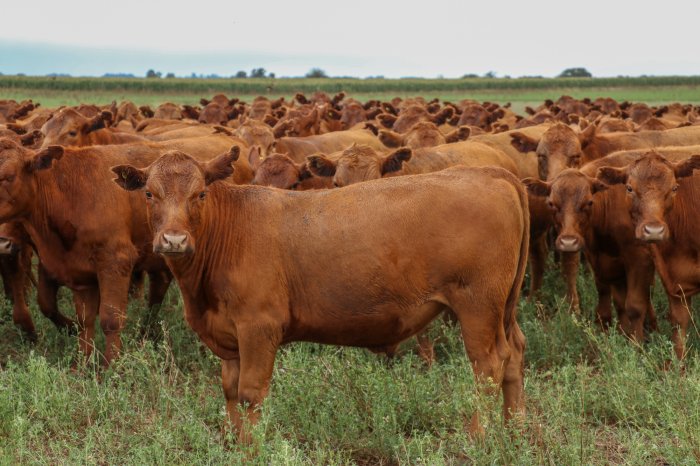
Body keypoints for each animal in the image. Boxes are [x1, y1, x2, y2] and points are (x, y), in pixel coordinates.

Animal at [115, 147, 528, 442]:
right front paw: (232, 443)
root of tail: (489, 173)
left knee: (488, 366)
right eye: (149, 193)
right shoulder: (229, 338)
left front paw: (251, 448)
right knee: (513, 355)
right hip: (502, 310)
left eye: (200, 193)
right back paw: (517, 431)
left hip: (478, 307)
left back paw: (477, 438)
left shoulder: (258, 328)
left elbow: (250, 393)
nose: (174, 240)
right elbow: (230, 392)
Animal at [592, 151, 700, 358]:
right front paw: (678, 363)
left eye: (674, 188)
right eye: (629, 188)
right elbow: (679, 321)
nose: (654, 231)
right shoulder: (673, 281)